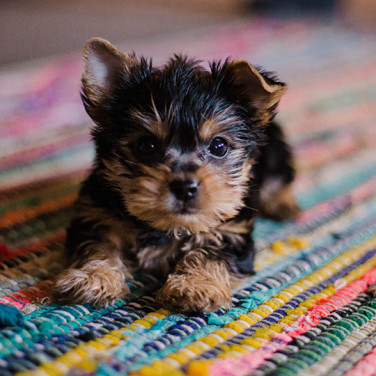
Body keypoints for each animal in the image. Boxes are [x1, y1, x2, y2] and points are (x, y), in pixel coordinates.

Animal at [52, 38, 300, 312]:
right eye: (146, 145)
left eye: (219, 146)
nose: (185, 188)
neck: (167, 226)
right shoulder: (96, 213)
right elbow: (97, 244)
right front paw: (94, 277)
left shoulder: (231, 228)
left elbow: (211, 251)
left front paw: (195, 286)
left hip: (275, 151)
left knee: (281, 176)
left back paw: (283, 203)